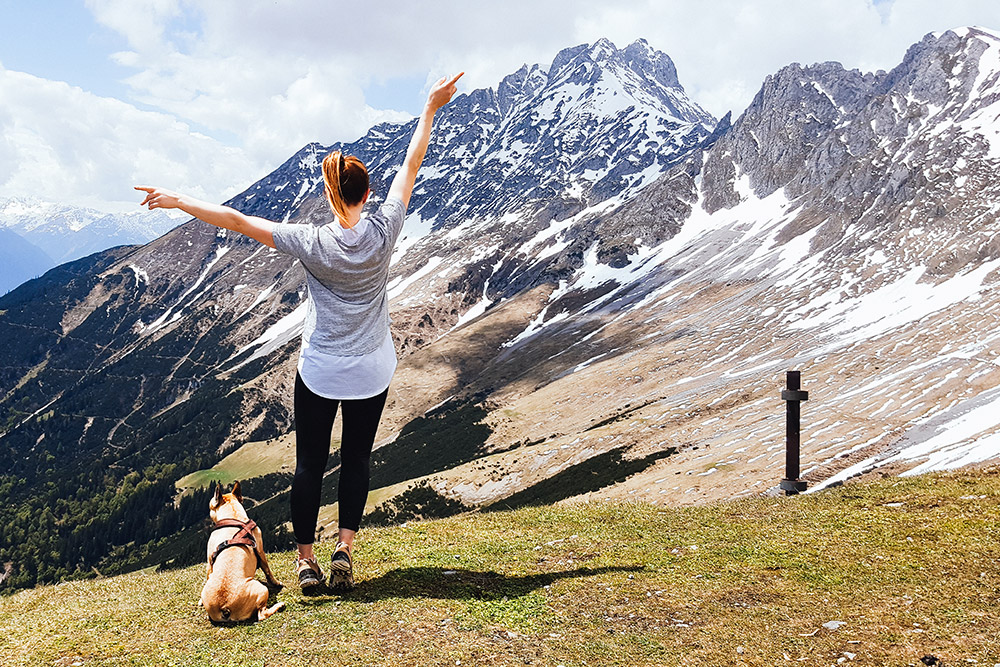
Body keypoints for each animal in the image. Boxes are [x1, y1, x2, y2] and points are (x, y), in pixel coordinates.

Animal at [198, 482, 286, 624]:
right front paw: (276, 583)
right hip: (262, 589)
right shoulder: (260, 550)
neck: (232, 516)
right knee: (262, 614)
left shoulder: (209, 560)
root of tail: (224, 607)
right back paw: (279, 605)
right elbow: (267, 570)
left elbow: (208, 572)